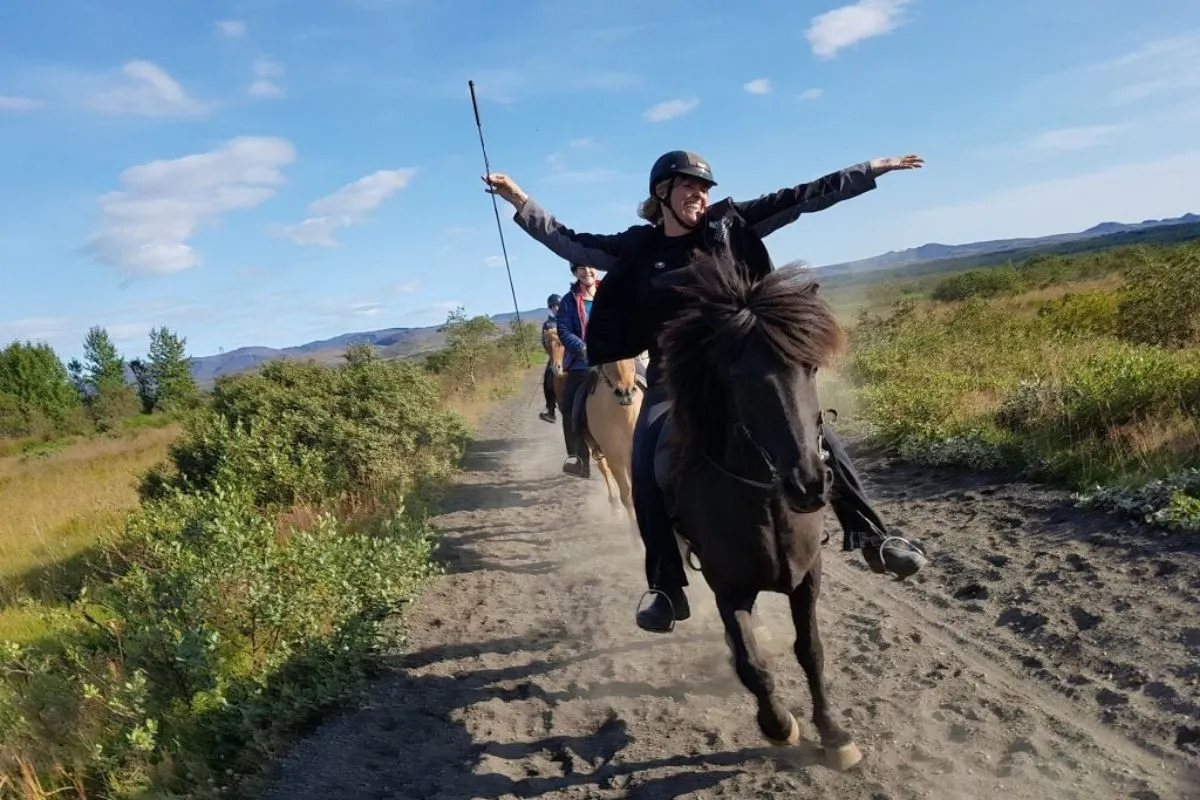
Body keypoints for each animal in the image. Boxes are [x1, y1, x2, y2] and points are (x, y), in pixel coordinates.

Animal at [652, 251, 863, 770]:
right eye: (738, 377)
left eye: (810, 367)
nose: (808, 483)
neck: (766, 500)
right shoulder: (727, 588)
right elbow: (753, 666)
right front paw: (778, 723)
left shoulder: (808, 575)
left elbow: (811, 650)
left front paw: (834, 733)